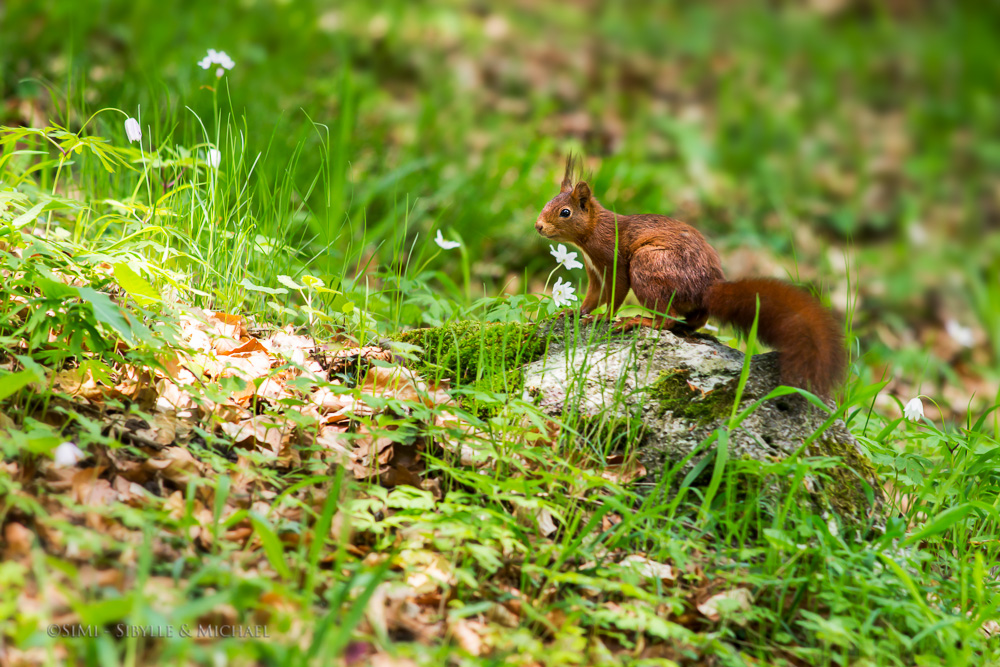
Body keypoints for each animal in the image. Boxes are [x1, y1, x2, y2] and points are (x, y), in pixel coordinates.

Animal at [536, 161, 848, 396]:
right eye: (547, 203)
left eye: (565, 212)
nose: (538, 226)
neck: (592, 231)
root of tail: (705, 288)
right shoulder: (593, 271)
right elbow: (593, 296)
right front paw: (575, 312)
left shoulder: (615, 263)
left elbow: (614, 295)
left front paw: (604, 317)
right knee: (693, 319)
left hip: (648, 265)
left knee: (668, 318)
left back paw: (640, 321)